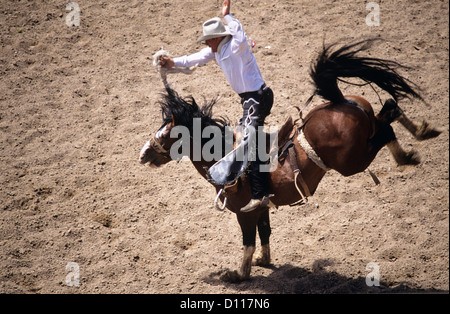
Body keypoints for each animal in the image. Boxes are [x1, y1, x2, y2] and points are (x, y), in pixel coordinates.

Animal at [140, 39, 440, 282]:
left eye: (165, 133)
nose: (143, 154)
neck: (222, 155)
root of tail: (338, 101)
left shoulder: (243, 213)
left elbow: (248, 241)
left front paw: (238, 274)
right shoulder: (261, 208)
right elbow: (265, 232)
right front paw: (263, 260)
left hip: (352, 161)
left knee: (387, 127)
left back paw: (408, 153)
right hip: (364, 130)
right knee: (389, 109)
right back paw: (424, 131)